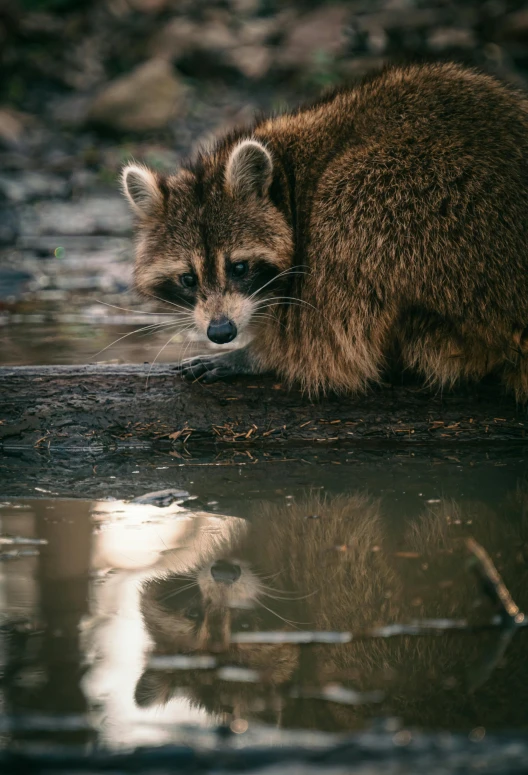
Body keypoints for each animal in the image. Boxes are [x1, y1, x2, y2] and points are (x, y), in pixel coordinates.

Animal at [124, 63, 528, 398]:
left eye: (238, 267)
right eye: (188, 279)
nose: (221, 333)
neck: (285, 183)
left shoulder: (317, 243)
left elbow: (325, 342)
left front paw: (256, 356)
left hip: (406, 197)